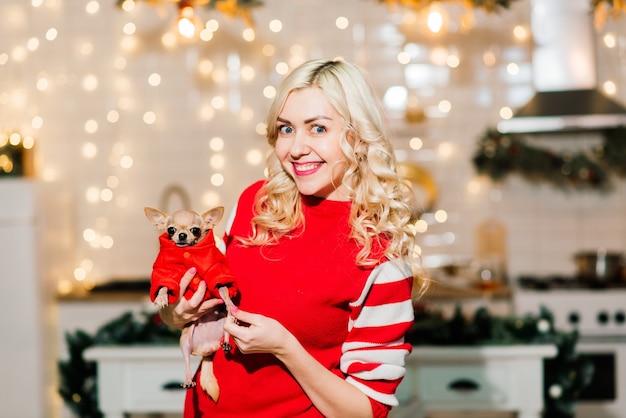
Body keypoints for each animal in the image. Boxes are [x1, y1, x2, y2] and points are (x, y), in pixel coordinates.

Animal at [145, 206, 238, 402]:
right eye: (171, 230)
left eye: (195, 230)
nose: (181, 235)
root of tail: (207, 349)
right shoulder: (167, 271)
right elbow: (164, 284)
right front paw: (162, 297)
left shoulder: (215, 271)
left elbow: (223, 289)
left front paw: (228, 300)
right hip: (185, 341)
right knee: (187, 363)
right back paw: (188, 380)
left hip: (224, 324)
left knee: (228, 325)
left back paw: (227, 340)